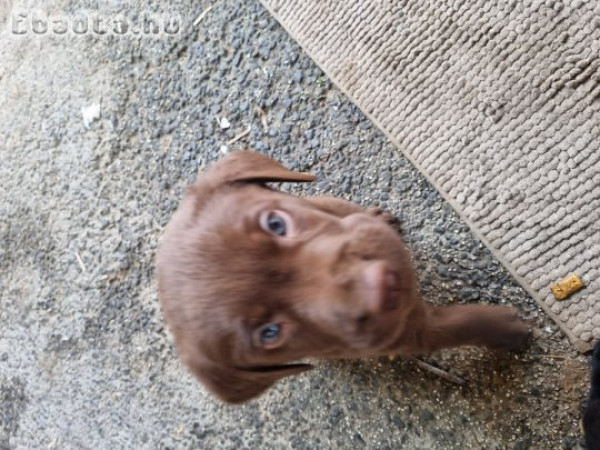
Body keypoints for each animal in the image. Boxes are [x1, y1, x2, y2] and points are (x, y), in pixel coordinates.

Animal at [156, 151, 528, 404]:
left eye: (275, 223)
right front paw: (508, 330)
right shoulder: (407, 334)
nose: (379, 285)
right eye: (270, 333)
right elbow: (458, 325)